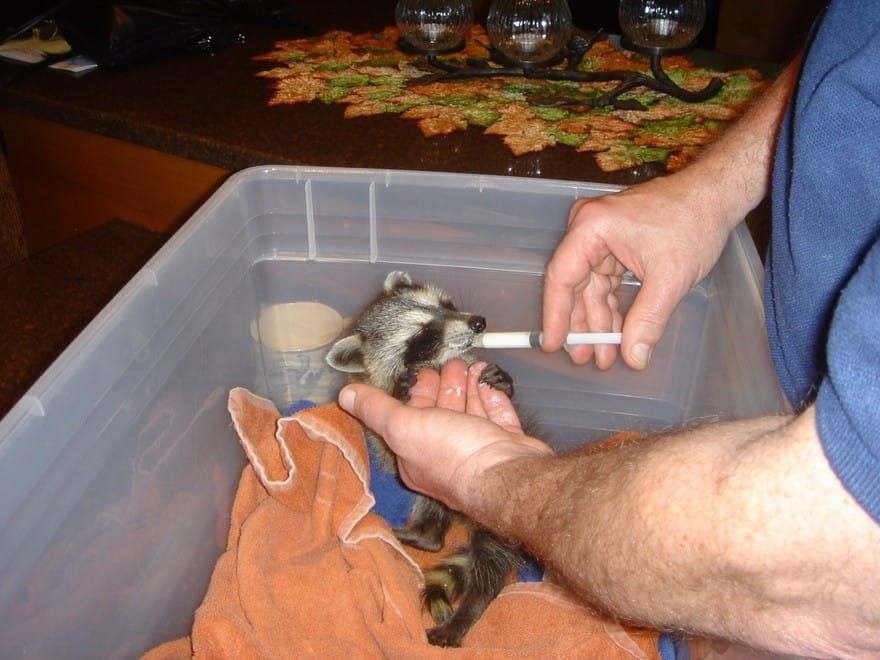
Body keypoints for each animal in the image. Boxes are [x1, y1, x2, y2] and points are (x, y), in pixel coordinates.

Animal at [326, 270, 529, 647]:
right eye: (424, 334)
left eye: (446, 306)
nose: (478, 322)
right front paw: (402, 392)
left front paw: (505, 383)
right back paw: (429, 538)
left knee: (488, 560)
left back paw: (469, 604)